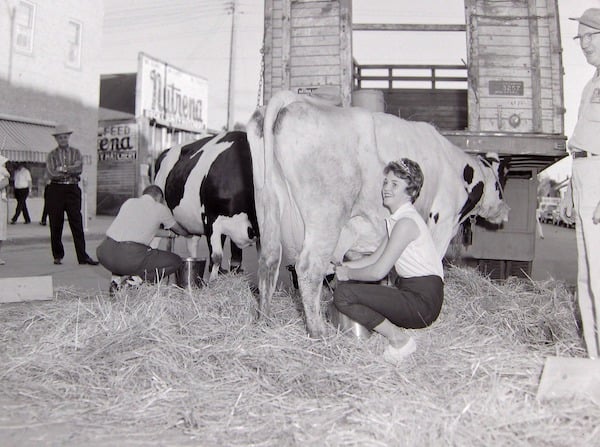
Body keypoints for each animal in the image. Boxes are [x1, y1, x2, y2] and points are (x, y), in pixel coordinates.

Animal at [152, 130, 258, 280]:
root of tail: (166, 151)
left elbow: (238, 262)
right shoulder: (211, 218)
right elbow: (217, 256)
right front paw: (213, 282)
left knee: (192, 244)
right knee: (155, 240)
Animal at [246, 91, 508, 338]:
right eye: (499, 184)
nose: (505, 211)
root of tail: (292, 99)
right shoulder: (442, 222)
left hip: (267, 206)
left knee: (269, 261)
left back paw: (264, 321)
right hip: (326, 216)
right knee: (309, 268)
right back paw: (319, 332)